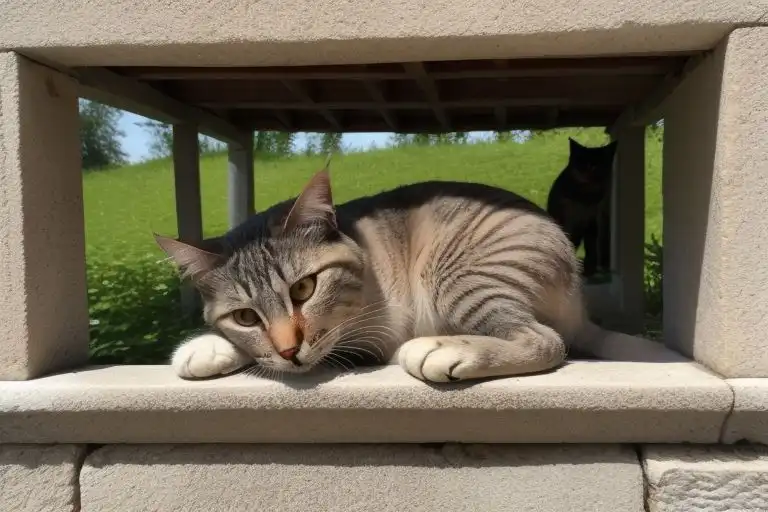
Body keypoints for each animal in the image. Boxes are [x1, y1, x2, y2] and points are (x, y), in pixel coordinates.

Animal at [154, 166, 672, 382]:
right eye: (245, 316)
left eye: (304, 289)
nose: (288, 350)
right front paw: (209, 346)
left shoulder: (368, 338)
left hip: (460, 276)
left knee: (545, 340)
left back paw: (446, 350)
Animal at [544, 138, 616, 278]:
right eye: (581, 161)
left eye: (599, 164)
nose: (589, 169)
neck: (585, 196)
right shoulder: (568, 222)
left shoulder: (592, 222)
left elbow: (591, 249)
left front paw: (589, 270)